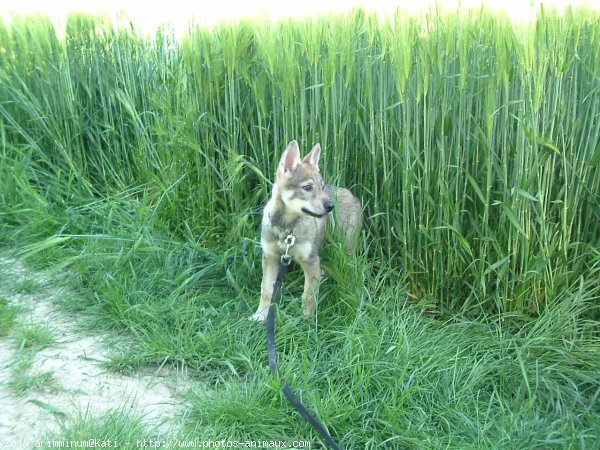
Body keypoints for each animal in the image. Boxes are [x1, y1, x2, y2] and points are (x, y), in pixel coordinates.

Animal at [250, 139, 360, 322]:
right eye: (308, 187)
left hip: (346, 252)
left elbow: (308, 295)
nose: (331, 206)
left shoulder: (310, 260)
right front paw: (260, 316)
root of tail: (351, 194)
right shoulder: (270, 258)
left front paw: (306, 321)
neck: (286, 229)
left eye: (322, 187)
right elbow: (266, 291)